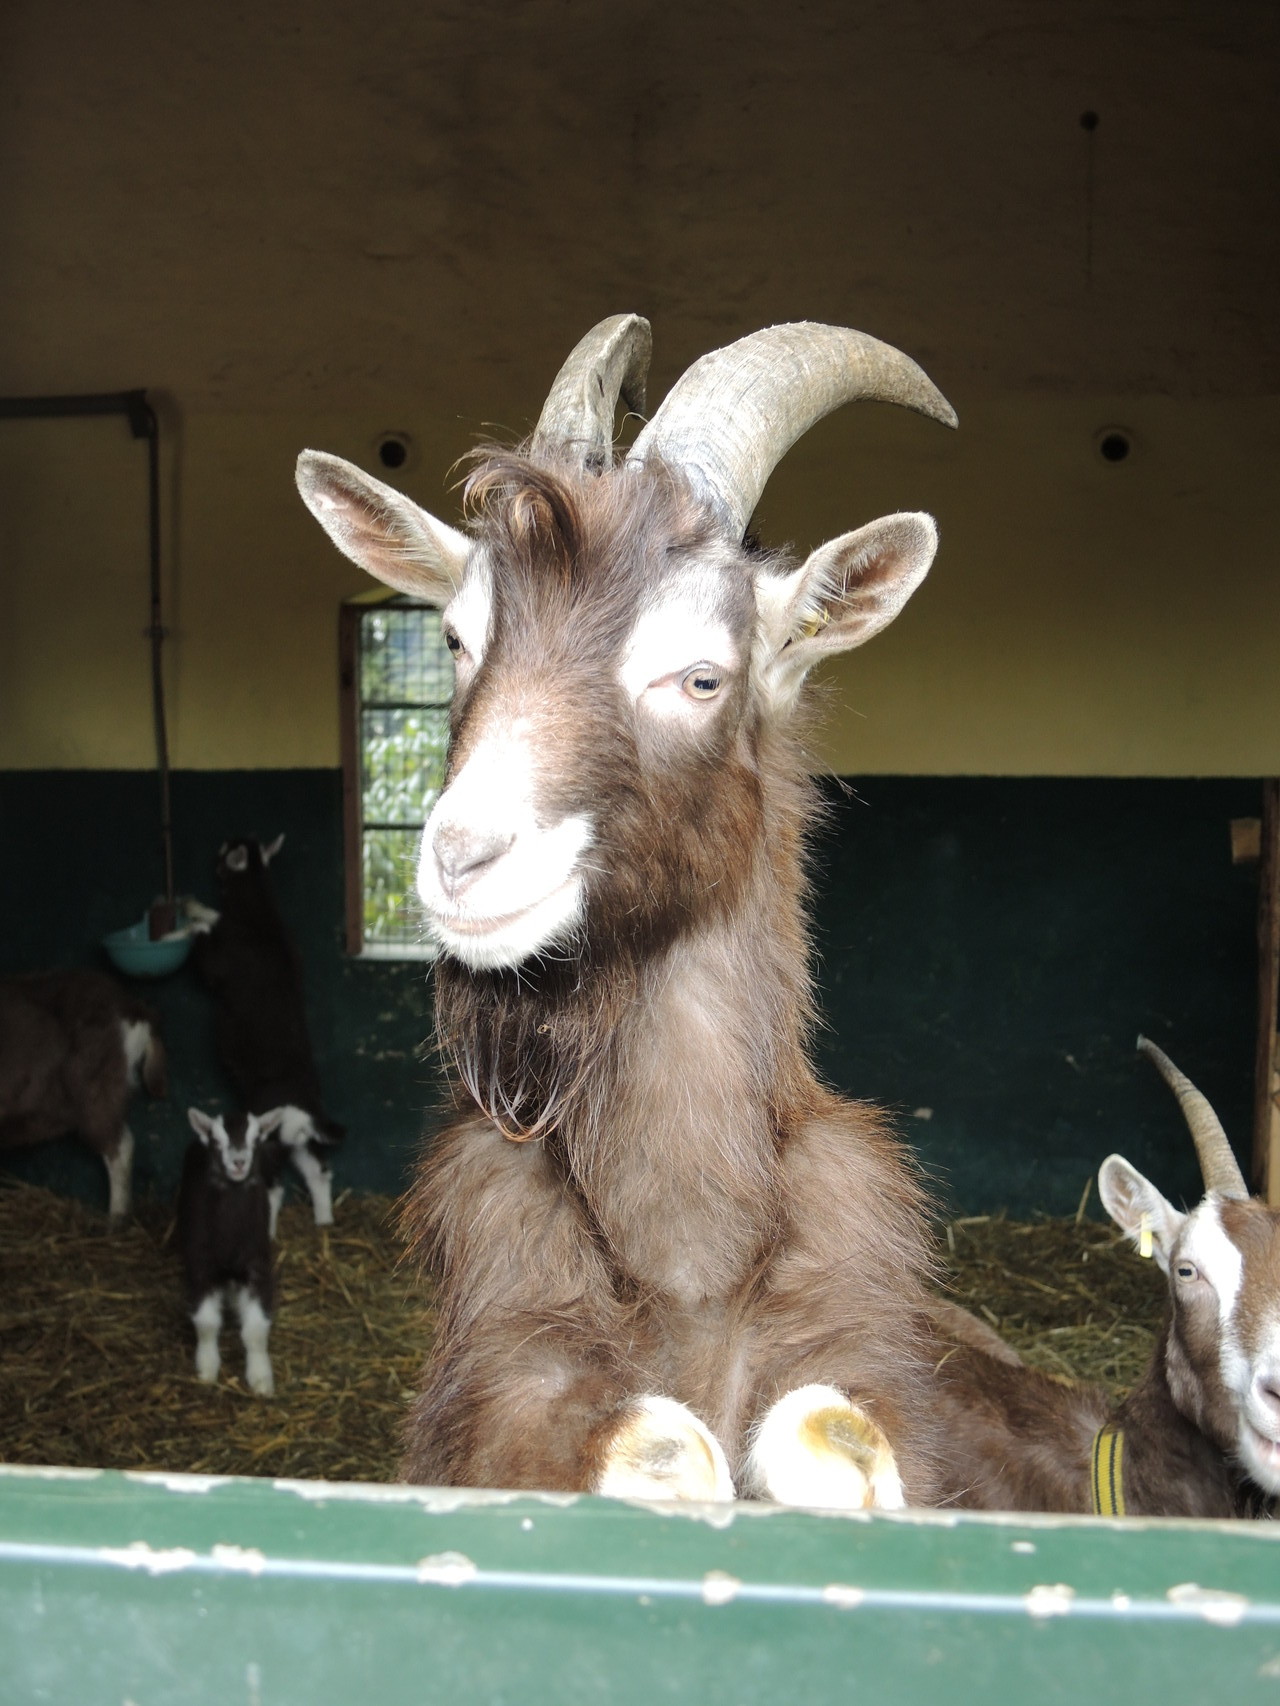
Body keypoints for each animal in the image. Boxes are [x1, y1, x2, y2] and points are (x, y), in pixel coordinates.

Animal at [179, 1107, 283, 1394]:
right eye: (217, 1140)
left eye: (256, 1139)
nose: (238, 1162)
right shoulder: (200, 1265)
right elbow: (206, 1322)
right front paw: (206, 1368)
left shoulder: (258, 1266)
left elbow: (256, 1329)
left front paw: (261, 1378)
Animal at [190, 835, 344, 1226]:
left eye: (223, 852)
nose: (215, 858)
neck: (257, 915)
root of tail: (304, 1112)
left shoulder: (217, 963)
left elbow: (204, 952)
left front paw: (198, 915)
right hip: (302, 1144)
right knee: (319, 1172)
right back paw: (324, 1220)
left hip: (272, 1144)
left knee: (273, 1187)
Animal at [298, 315, 957, 1505]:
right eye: (456, 638)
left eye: (700, 676)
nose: (463, 859)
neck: (687, 1270)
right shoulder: (510, 1360)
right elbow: (658, 1445)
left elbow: (825, 1429)